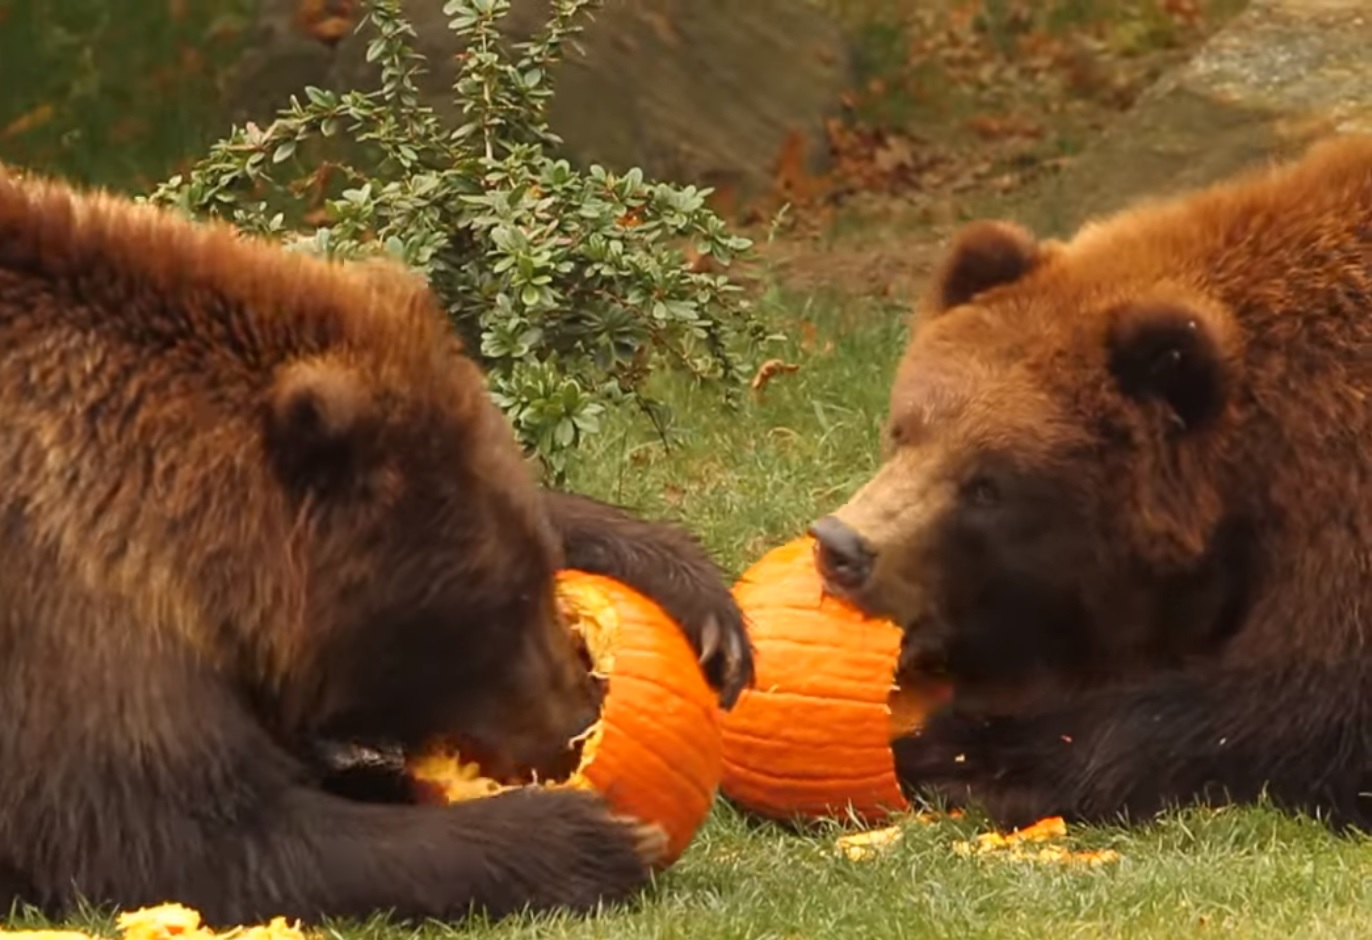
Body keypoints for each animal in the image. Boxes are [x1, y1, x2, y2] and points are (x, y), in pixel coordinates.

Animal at [0, 166, 751, 922]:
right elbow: (173, 836)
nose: (577, 723)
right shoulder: (72, 609)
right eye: (500, 607)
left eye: (534, 580)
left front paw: (699, 602)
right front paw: (586, 837)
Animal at [806, 131, 1372, 828]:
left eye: (988, 486)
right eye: (904, 429)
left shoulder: (1340, 517)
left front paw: (961, 754)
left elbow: (1295, 700)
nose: (843, 546)